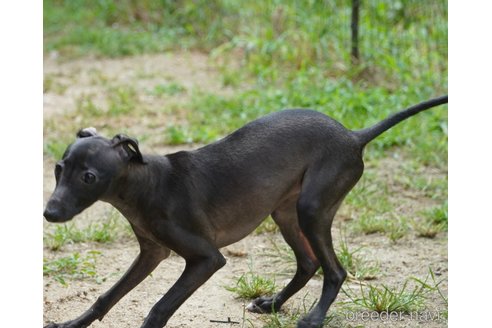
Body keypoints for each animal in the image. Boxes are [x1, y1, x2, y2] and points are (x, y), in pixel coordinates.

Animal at [44, 95, 448, 328]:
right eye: (59, 169)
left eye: (89, 177)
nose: (49, 213)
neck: (146, 184)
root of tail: (353, 135)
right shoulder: (151, 253)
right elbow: (107, 296)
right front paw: (71, 324)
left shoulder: (207, 259)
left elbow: (159, 308)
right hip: (285, 213)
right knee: (308, 263)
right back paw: (273, 305)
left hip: (312, 209)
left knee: (334, 270)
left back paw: (314, 318)